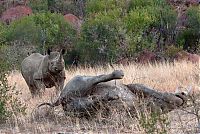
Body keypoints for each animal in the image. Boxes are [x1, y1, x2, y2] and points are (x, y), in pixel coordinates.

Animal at [38, 70, 191, 117]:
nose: (183, 94)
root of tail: (61, 98)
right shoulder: (137, 86)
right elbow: (157, 93)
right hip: (80, 81)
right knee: (97, 79)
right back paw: (117, 75)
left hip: (78, 106)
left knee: (93, 101)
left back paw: (108, 97)